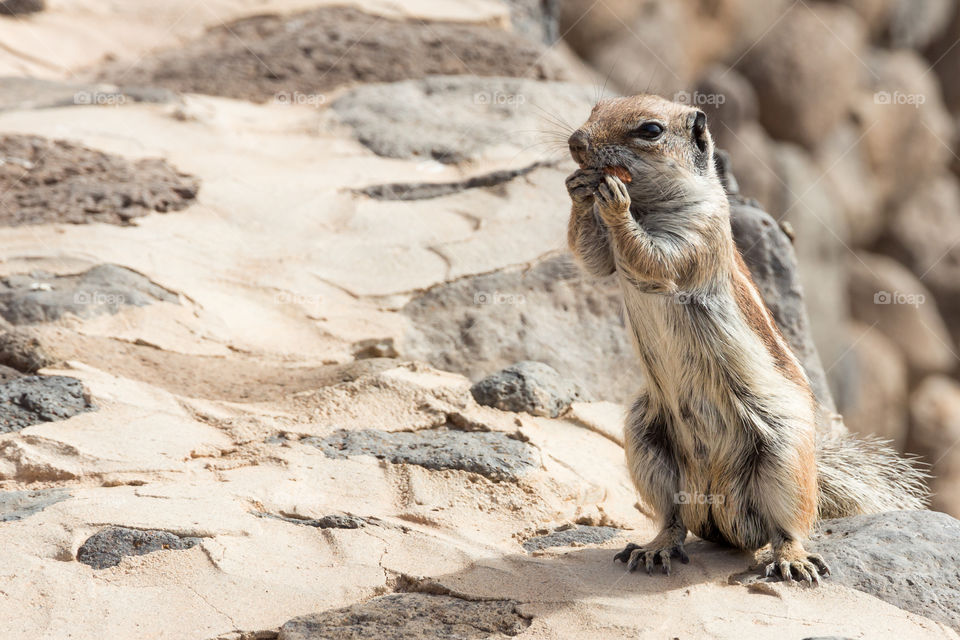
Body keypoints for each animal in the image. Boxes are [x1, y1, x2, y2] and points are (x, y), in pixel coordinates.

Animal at [565, 94, 928, 583]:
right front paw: (578, 187)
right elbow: (592, 257)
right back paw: (654, 547)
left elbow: (654, 259)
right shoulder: (607, 256)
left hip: (783, 457)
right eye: (595, 107)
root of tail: (718, 505)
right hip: (645, 438)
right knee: (673, 519)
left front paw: (612, 201)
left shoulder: (698, 234)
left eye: (650, 130)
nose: (576, 142)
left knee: (789, 524)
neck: (648, 204)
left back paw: (792, 558)